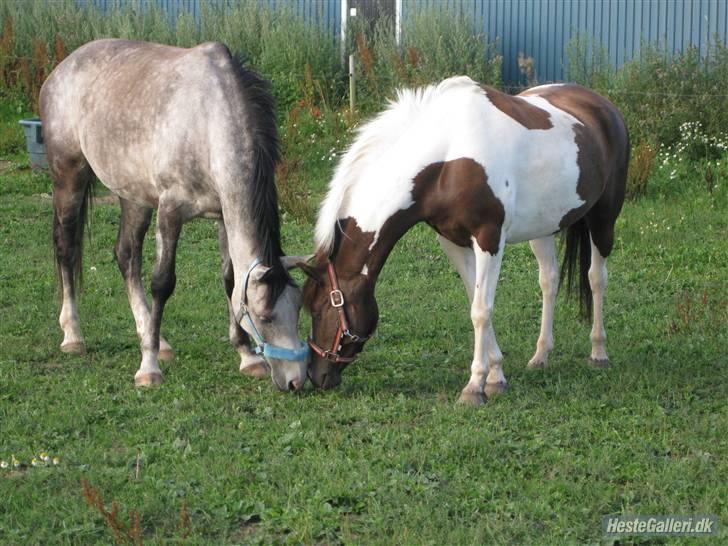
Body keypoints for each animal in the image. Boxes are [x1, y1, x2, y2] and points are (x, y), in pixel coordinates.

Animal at [39, 39, 308, 386]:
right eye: (265, 316)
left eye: (299, 309)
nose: (296, 381)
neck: (208, 122)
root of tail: (63, 66)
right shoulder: (170, 211)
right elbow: (162, 282)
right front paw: (148, 368)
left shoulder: (223, 215)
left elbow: (230, 279)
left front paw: (247, 357)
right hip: (69, 178)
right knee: (66, 249)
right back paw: (73, 335)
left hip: (134, 196)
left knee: (126, 256)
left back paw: (155, 338)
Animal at [298, 75, 628, 404]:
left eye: (319, 309)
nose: (316, 375)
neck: (448, 156)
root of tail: (603, 105)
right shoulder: (453, 242)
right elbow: (476, 300)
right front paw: (495, 377)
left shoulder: (489, 240)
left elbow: (481, 311)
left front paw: (474, 387)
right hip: (543, 228)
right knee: (549, 280)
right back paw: (541, 356)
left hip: (603, 220)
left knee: (596, 278)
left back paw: (599, 352)